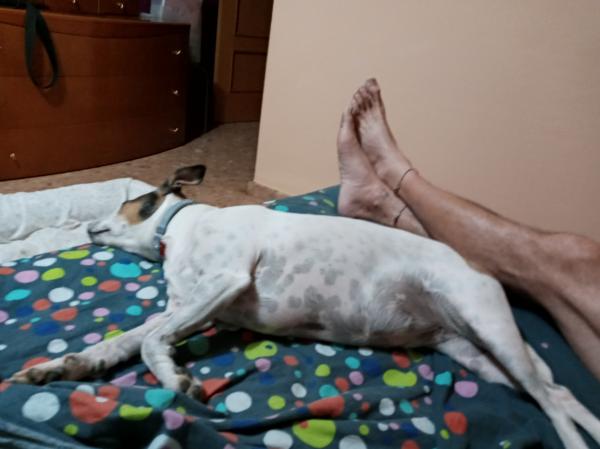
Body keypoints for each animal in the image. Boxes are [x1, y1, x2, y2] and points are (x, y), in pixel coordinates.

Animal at [10, 165, 600, 449]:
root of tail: (480, 271)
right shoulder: (196, 307)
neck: (178, 229)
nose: (88, 226)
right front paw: (63, 366)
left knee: (551, 401)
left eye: (127, 201)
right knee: (559, 392)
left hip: (488, 325)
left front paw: (177, 382)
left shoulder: (222, 282)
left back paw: (571, 441)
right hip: (480, 356)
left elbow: (154, 341)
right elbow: (127, 340)